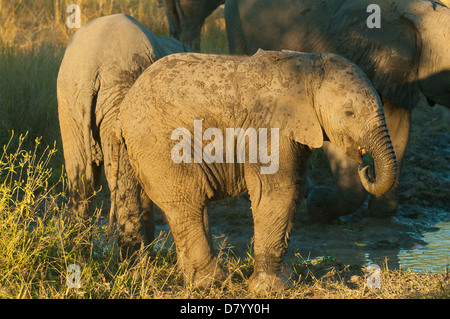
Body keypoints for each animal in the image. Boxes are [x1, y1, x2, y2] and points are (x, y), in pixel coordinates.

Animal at [56, 13, 190, 256]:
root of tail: (91, 68)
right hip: (118, 91)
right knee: (121, 180)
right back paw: (134, 258)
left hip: (70, 99)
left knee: (81, 176)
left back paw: (77, 253)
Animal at [110, 50, 398, 292]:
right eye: (349, 113)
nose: (365, 166)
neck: (307, 66)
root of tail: (123, 111)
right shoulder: (269, 127)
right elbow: (277, 191)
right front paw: (270, 289)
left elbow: (294, 189)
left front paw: (286, 279)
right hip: (160, 144)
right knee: (186, 202)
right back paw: (213, 282)